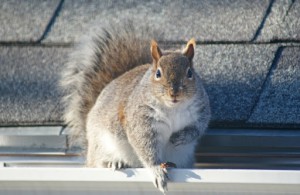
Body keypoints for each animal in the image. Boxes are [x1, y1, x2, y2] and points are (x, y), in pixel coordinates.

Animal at [60, 22, 211, 193]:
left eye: (190, 73)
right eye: (158, 74)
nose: (174, 93)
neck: (173, 108)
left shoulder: (201, 111)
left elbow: (197, 129)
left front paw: (180, 137)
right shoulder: (141, 120)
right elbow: (145, 145)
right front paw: (157, 170)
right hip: (102, 143)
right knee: (98, 162)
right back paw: (113, 162)